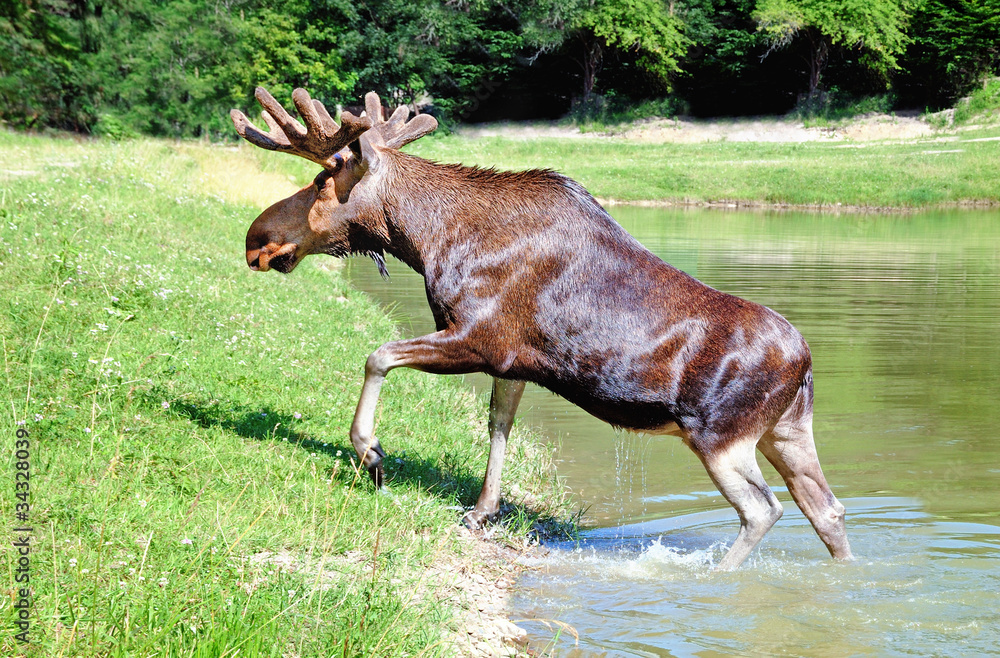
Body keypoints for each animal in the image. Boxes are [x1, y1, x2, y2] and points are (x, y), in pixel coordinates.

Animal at [229, 87, 852, 568]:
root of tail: (806, 364)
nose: (255, 239)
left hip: (721, 437)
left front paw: (371, 453)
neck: (426, 240)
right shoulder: (514, 363)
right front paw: (481, 512)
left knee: (763, 509)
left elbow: (377, 355)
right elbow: (498, 426)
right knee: (826, 508)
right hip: (786, 431)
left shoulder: (477, 337)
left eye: (321, 181)